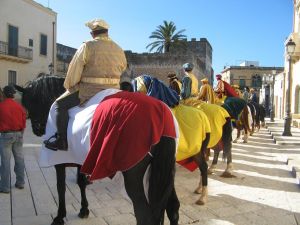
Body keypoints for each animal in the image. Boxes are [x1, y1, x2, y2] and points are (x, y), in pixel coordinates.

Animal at [15, 74, 179, 225]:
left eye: (31, 102)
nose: (38, 129)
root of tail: (161, 117)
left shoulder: (60, 161)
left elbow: (60, 187)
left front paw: (60, 216)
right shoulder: (81, 157)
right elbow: (81, 182)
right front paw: (84, 209)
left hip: (134, 175)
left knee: (144, 215)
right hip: (164, 172)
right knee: (173, 207)